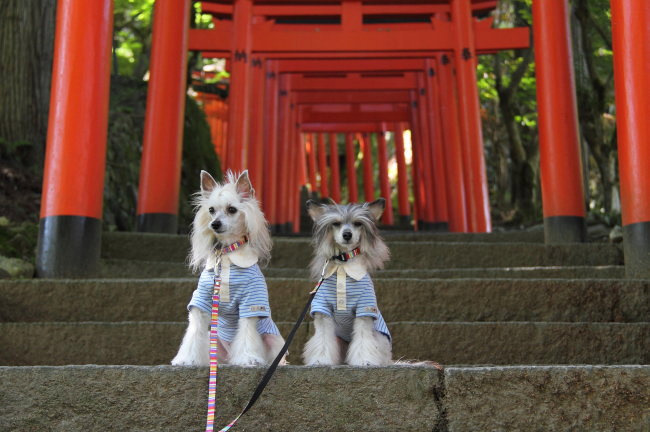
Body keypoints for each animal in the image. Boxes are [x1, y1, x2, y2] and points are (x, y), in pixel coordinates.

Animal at [171, 170, 284, 366]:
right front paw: (186, 359)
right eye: (211, 210)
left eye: (232, 209)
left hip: (273, 339)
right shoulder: (201, 301)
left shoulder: (251, 301)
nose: (214, 224)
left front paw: (248, 359)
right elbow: (194, 332)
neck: (226, 256)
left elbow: (247, 333)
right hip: (214, 341)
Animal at [302, 198, 392, 364]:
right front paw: (320, 361)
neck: (343, 264)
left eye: (358, 223)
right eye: (336, 223)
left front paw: (365, 361)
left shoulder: (365, 310)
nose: (347, 234)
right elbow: (323, 340)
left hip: (380, 338)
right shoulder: (323, 311)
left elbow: (363, 341)